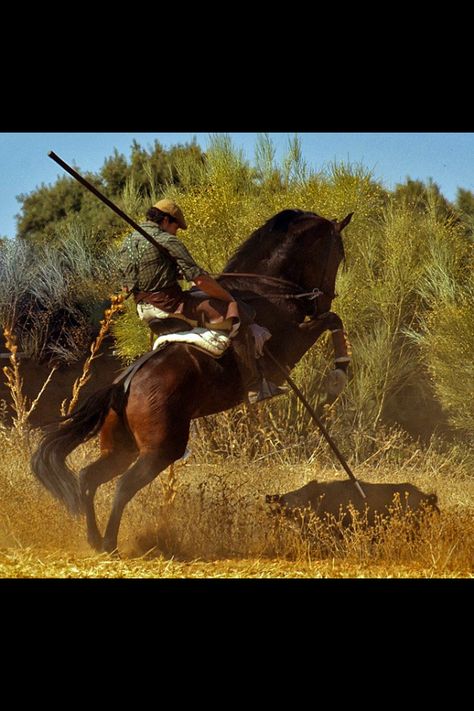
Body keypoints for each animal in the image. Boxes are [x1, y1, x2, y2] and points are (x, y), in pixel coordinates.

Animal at [31, 209, 354, 552]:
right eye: (338, 254)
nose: (324, 299)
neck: (266, 289)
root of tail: (122, 387)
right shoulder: (288, 349)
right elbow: (332, 320)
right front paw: (338, 374)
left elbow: (330, 320)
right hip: (161, 450)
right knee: (123, 486)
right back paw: (110, 542)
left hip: (122, 449)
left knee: (88, 478)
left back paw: (95, 540)